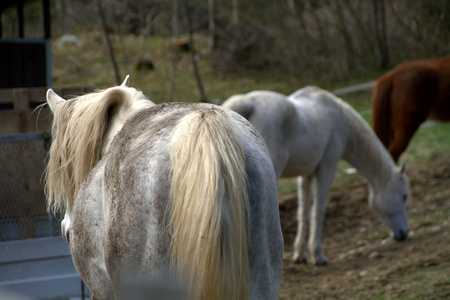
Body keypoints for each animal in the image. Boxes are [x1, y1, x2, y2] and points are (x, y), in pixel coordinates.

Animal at [222, 86, 412, 264]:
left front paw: (300, 254)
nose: (404, 233)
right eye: (404, 196)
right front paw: (317, 255)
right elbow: (318, 211)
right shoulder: (328, 168)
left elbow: (304, 213)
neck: (339, 120)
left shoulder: (306, 175)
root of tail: (248, 103)